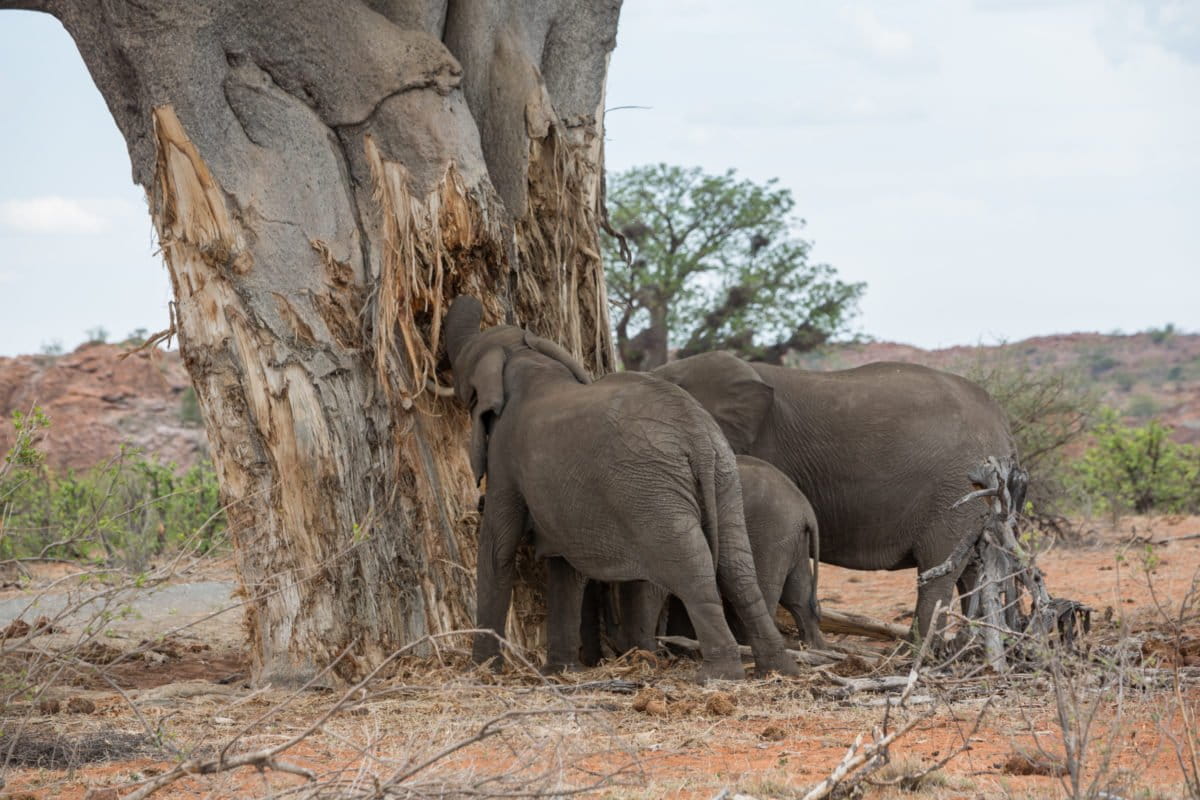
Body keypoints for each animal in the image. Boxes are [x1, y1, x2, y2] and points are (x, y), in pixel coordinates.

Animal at [441, 297, 796, 681]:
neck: (528, 358)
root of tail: (698, 438)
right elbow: (565, 566)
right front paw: (560, 671)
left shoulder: (505, 453)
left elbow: (497, 546)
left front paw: (480, 671)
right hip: (723, 478)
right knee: (738, 566)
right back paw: (779, 668)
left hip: (654, 492)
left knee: (691, 567)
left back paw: (718, 675)